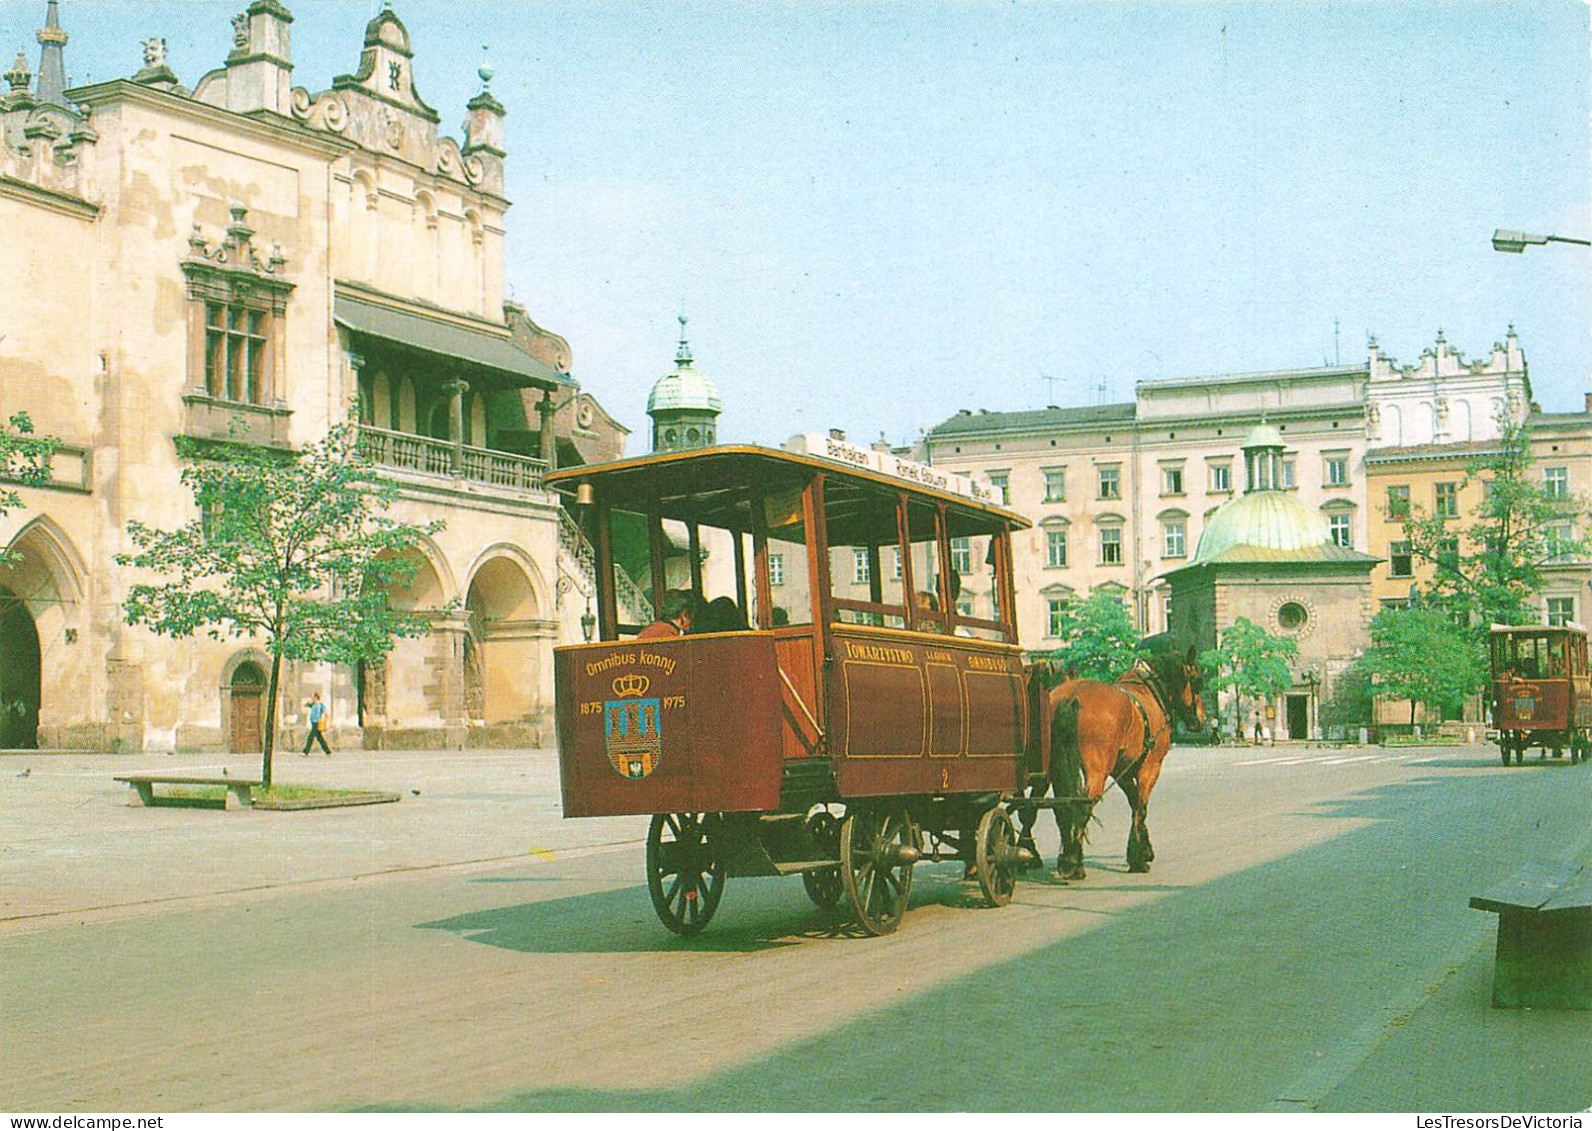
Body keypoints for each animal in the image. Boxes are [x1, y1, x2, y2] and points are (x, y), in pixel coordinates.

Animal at [1018, 643, 1203, 879]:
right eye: (1197, 681)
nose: (1201, 720)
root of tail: (1071, 696)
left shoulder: (1121, 770)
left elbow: (1133, 802)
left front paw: (1144, 849)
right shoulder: (1150, 767)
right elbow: (1140, 807)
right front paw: (1138, 857)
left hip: (1050, 769)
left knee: (1052, 805)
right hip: (1097, 771)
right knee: (1082, 805)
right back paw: (1072, 862)